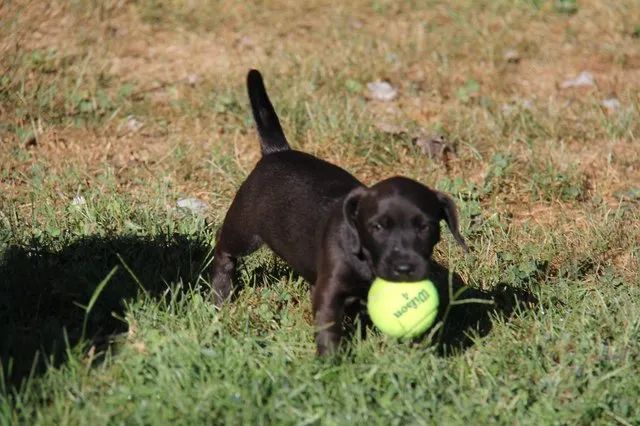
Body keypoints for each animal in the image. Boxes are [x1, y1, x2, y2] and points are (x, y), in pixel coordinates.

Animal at [212, 70, 468, 354]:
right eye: (377, 227)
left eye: (425, 227)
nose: (404, 268)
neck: (366, 260)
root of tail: (276, 152)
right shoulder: (329, 291)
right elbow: (328, 326)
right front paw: (332, 360)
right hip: (244, 228)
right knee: (224, 249)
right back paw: (220, 294)